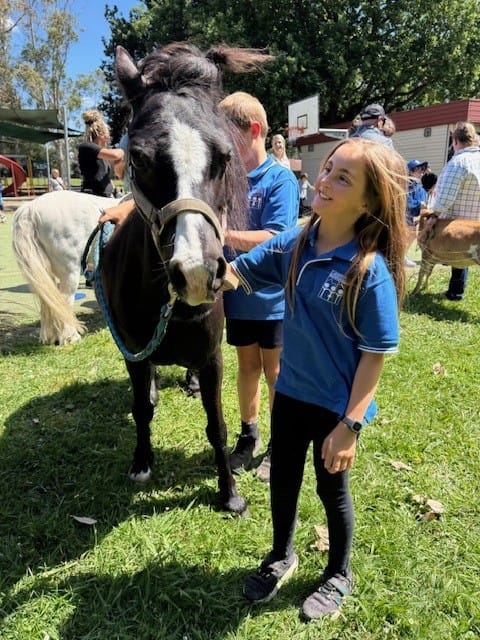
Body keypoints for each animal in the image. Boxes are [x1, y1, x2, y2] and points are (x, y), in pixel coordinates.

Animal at [11, 191, 119, 345]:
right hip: (70, 271)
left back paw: (48, 337)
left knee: (48, 299)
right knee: (64, 300)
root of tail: (30, 209)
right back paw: (70, 337)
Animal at [95, 43, 272, 514]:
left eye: (225, 157)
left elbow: (218, 426)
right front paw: (141, 462)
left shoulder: (212, 359)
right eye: (138, 157)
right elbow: (141, 408)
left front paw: (229, 494)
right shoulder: (134, 353)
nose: (195, 272)